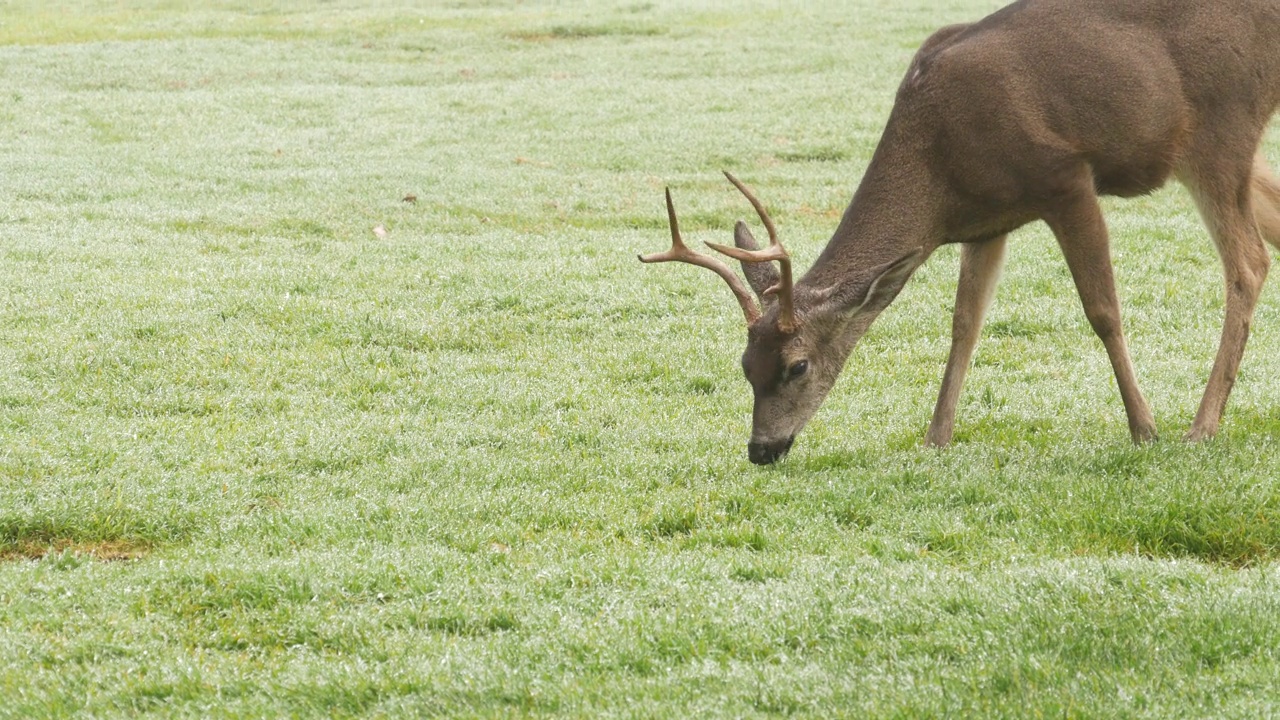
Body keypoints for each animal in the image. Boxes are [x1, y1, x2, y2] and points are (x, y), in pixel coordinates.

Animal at [640, 0, 1280, 461]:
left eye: (797, 365)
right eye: (745, 367)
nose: (761, 449)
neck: (938, 168)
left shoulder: (1065, 177)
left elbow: (1102, 310)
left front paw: (1144, 429)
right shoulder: (986, 221)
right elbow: (964, 325)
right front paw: (936, 438)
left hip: (1220, 124)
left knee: (1248, 262)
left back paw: (1201, 426)